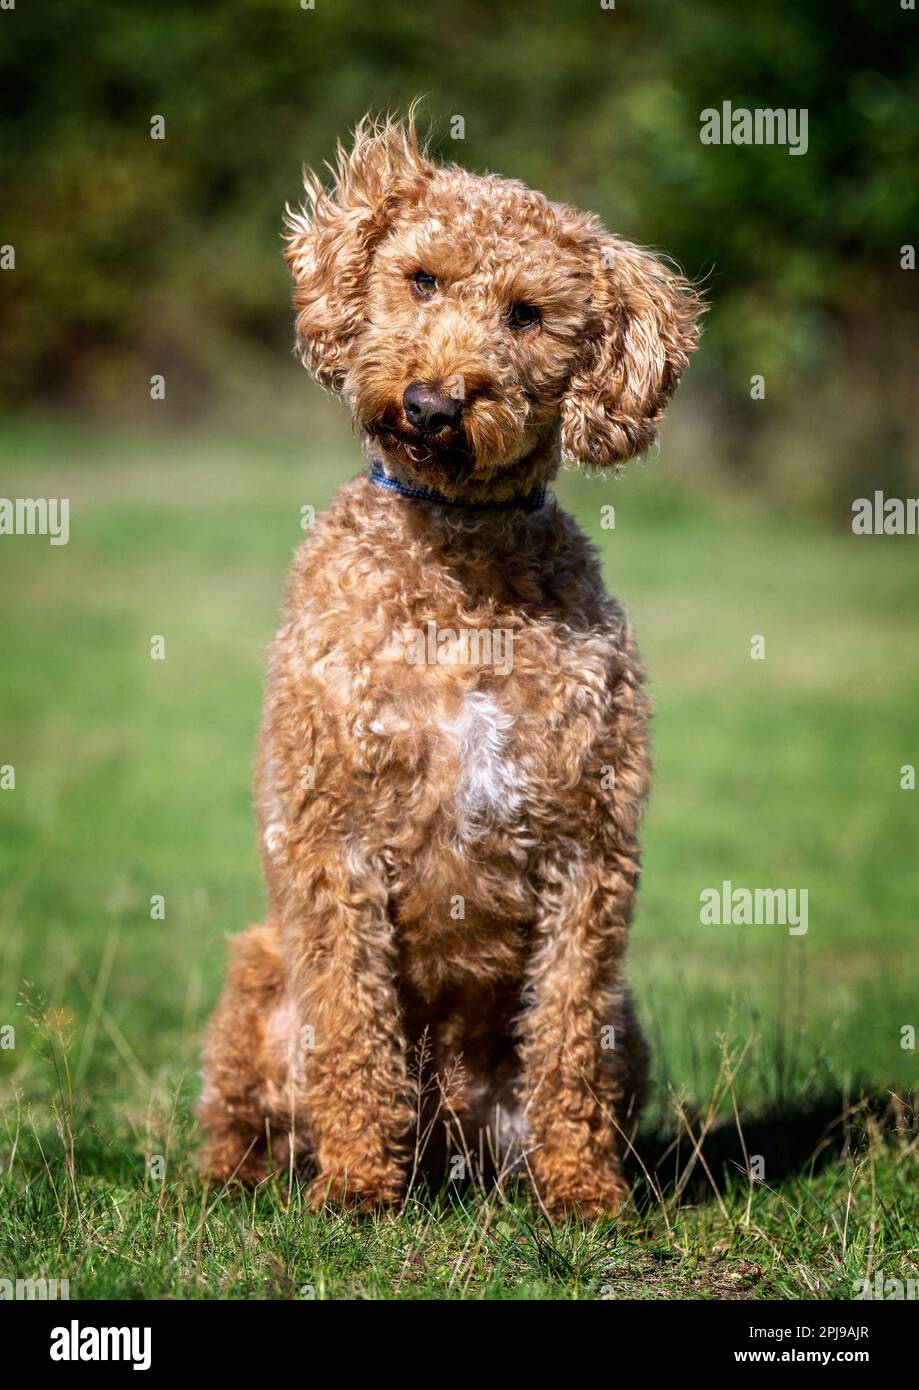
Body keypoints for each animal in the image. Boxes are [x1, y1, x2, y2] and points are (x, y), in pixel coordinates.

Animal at [197, 111, 697, 1217]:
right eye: (420, 280)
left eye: (527, 315)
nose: (432, 405)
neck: (457, 568)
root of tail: (448, 1146)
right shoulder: (332, 835)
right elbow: (352, 1027)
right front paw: (354, 1188)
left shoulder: (586, 846)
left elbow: (565, 1036)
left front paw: (583, 1193)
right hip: (257, 977)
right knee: (243, 1114)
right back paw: (251, 1177)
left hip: (623, 1026)